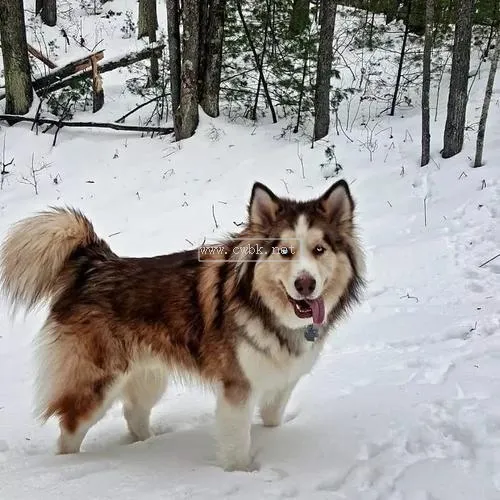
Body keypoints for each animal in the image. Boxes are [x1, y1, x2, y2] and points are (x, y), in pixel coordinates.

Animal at [1, 182, 366, 470]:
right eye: (285, 251)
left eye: (319, 249)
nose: (305, 284)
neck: (266, 308)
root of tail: (95, 263)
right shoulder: (237, 387)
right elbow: (237, 446)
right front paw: (243, 476)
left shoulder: (281, 382)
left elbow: (272, 421)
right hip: (97, 383)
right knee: (70, 431)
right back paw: (69, 468)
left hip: (148, 375)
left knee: (133, 414)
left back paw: (149, 445)